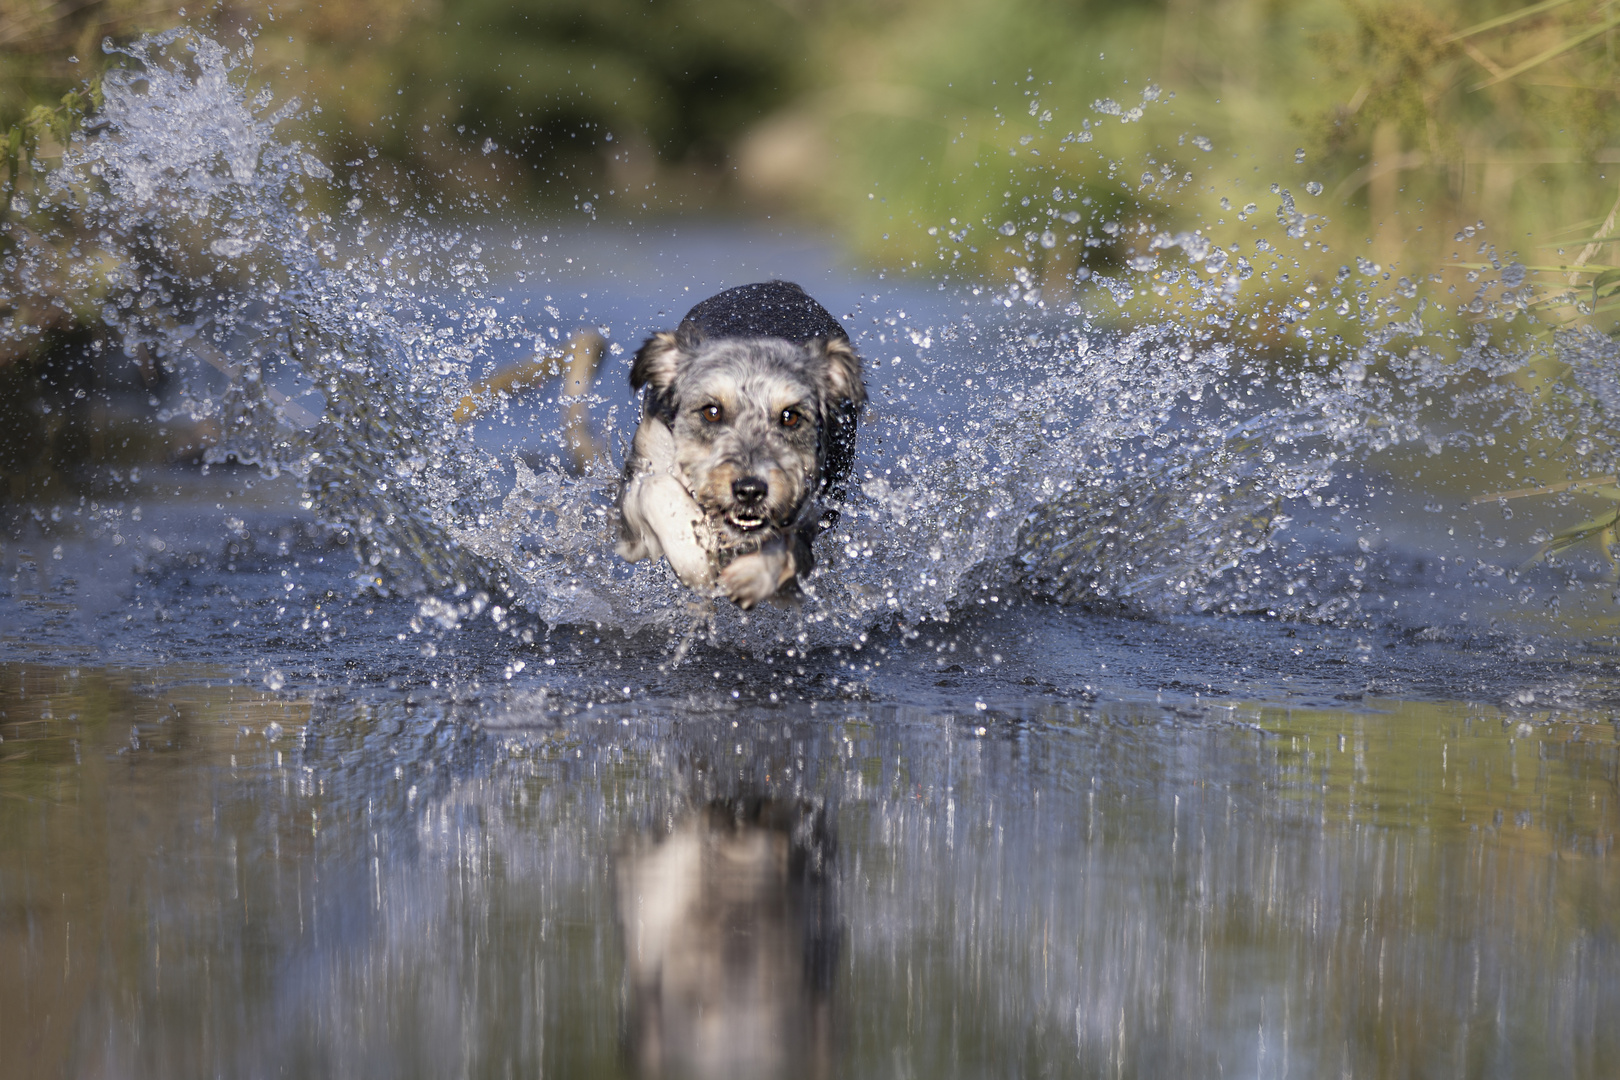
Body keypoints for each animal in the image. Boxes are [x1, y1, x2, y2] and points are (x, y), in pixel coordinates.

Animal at [615, 281, 868, 608]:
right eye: (711, 412)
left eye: (790, 417)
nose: (750, 490)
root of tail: (779, 284)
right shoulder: (632, 514)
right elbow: (655, 487)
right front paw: (693, 557)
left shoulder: (815, 507)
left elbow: (789, 547)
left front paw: (756, 572)